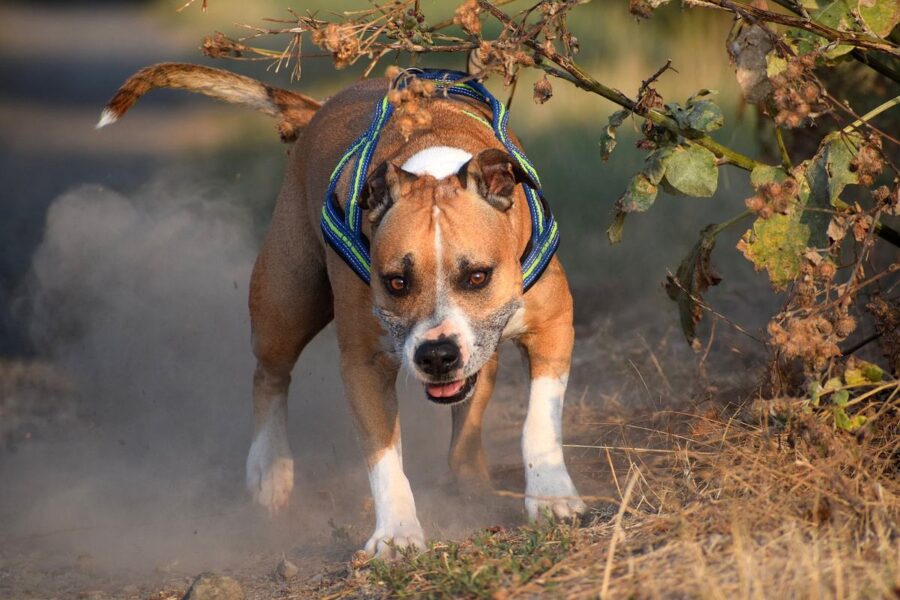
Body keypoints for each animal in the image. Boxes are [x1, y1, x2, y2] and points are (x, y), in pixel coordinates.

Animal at [102, 63, 588, 556]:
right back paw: (270, 469)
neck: (433, 161)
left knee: (471, 405)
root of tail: (321, 108)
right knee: (269, 376)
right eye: (395, 282)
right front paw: (396, 533)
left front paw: (551, 496)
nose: (436, 356)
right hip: (286, 303)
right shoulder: (364, 364)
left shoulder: (553, 325)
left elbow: (539, 422)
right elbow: (383, 456)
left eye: (477, 276)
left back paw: (469, 479)